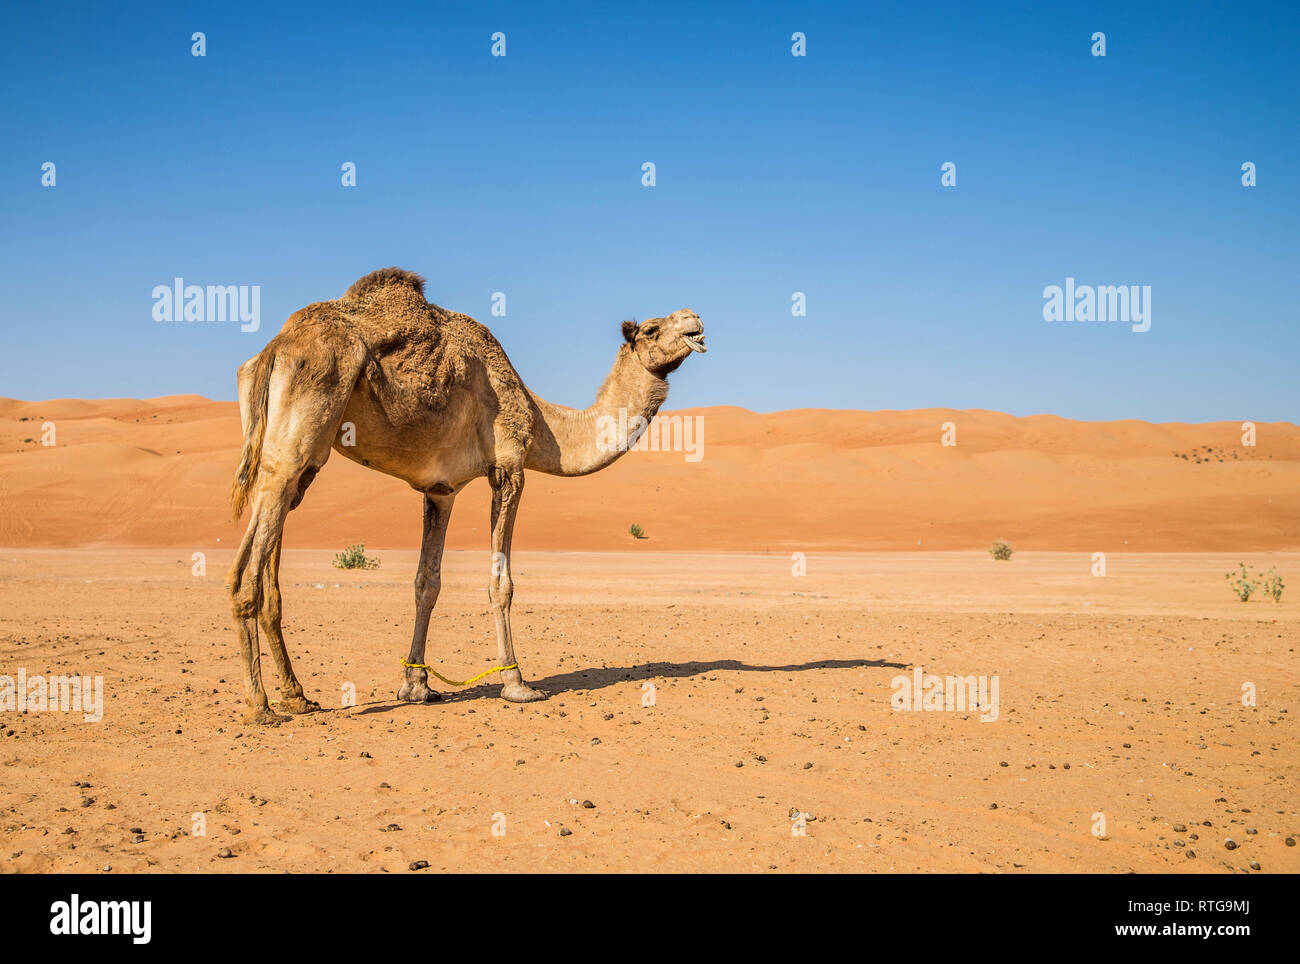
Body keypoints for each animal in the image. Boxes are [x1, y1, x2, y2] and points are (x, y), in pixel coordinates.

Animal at [226, 267, 712, 722]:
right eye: (651, 329)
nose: (694, 317)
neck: (544, 424)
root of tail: (273, 351)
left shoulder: (441, 490)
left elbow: (426, 582)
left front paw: (416, 685)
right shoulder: (509, 468)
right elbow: (501, 583)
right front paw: (517, 682)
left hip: (296, 456)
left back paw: (297, 696)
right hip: (304, 425)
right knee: (246, 571)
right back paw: (260, 704)